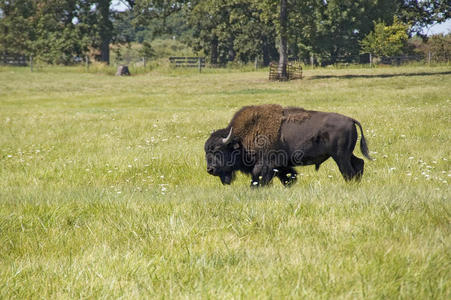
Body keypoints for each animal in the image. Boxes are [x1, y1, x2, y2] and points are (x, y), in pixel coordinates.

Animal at [205, 104, 370, 186]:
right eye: (207, 151)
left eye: (218, 150)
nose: (210, 169)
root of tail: (350, 119)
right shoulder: (281, 166)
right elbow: (289, 177)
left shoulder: (266, 165)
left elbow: (258, 179)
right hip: (347, 155)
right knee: (359, 164)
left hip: (340, 156)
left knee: (349, 171)